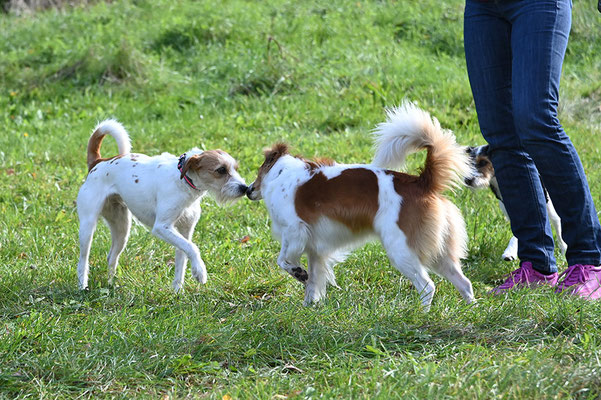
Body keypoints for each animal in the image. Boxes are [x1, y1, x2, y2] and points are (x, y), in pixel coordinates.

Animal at [77, 119, 246, 290]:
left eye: (235, 168)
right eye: (221, 170)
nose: (244, 188)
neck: (183, 182)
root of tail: (98, 163)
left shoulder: (185, 231)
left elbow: (182, 258)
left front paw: (178, 290)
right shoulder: (162, 227)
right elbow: (192, 248)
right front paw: (200, 271)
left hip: (122, 228)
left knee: (111, 256)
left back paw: (111, 284)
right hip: (87, 227)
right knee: (83, 260)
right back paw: (82, 286)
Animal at [246, 102, 476, 310]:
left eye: (258, 172)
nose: (248, 190)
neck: (282, 174)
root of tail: (421, 181)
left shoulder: (295, 231)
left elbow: (284, 261)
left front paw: (299, 273)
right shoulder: (314, 248)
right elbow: (314, 281)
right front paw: (309, 306)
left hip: (401, 249)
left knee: (427, 286)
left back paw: (420, 314)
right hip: (439, 253)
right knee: (464, 283)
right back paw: (471, 310)